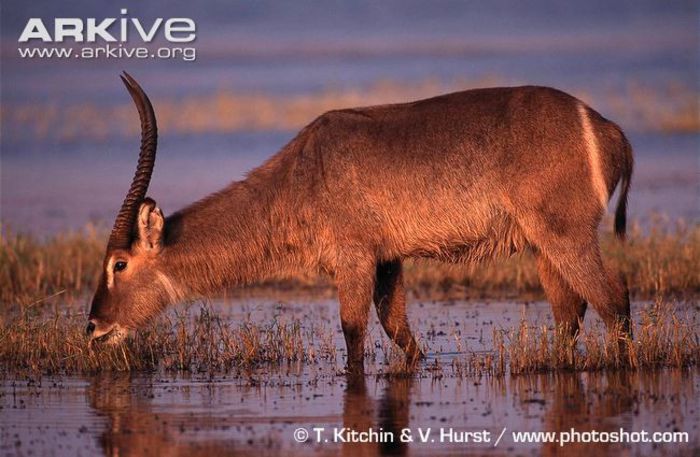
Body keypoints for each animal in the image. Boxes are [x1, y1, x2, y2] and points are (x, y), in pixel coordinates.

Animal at [87, 72, 636, 370]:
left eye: (118, 264)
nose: (93, 328)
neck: (300, 174)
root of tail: (607, 126)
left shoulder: (353, 257)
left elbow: (353, 333)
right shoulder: (388, 258)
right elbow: (398, 331)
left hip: (566, 235)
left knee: (613, 300)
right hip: (544, 245)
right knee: (571, 313)